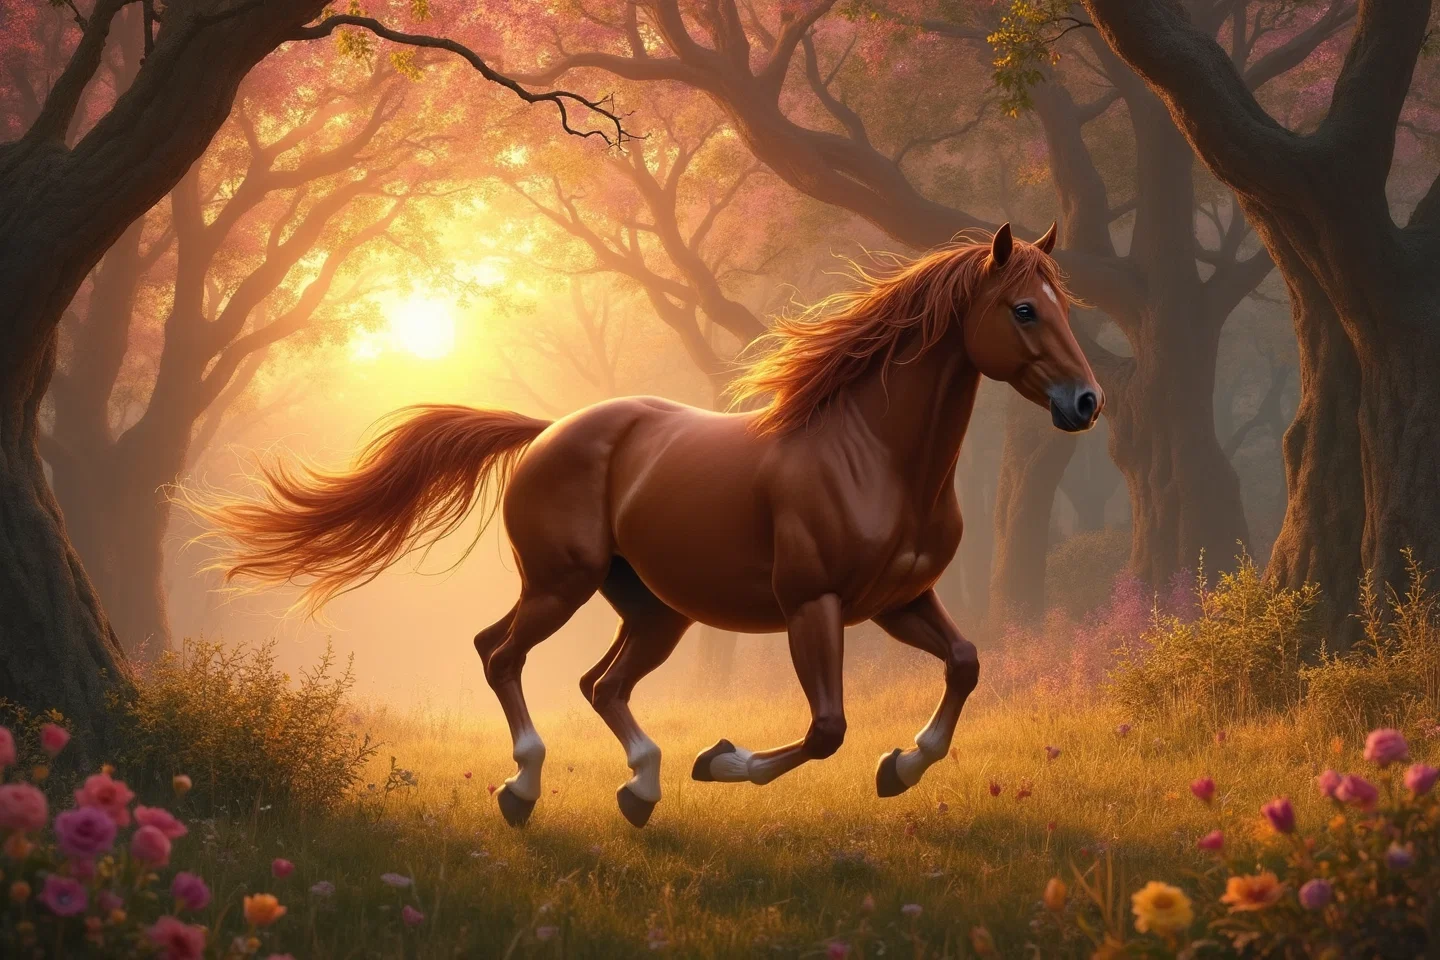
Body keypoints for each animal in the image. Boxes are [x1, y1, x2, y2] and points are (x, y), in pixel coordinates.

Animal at [195, 223, 1102, 829]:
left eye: (1065, 306)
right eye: (1024, 309)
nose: (1086, 402)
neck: (873, 454)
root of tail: (550, 430)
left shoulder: (901, 601)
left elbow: (965, 664)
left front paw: (902, 767)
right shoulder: (814, 607)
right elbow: (826, 729)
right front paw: (724, 759)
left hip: (656, 611)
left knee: (600, 684)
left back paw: (640, 787)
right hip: (560, 585)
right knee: (502, 654)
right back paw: (524, 789)